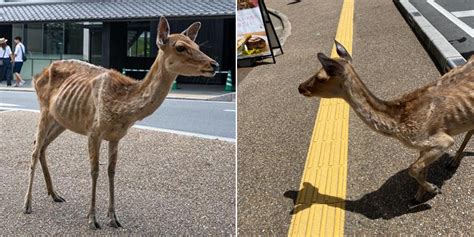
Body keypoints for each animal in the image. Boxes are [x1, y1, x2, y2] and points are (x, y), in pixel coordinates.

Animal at [23, 16, 219, 230]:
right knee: (34, 149)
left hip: (62, 120)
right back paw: (27, 204)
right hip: (44, 109)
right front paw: (92, 219)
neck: (122, 111)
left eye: (197, 45)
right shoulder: (94, 131)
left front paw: (113, 218)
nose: (214, 64)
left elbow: (111, 171)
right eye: (181, 47)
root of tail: (37, 76)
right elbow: (95, 170)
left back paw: (55, 194)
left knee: (42, 146)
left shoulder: (116, 136)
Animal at [298, 40, 472, 204]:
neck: (398, 124)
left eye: (320, 78)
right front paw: (418, 196)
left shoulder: (442, 139)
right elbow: (422, 169)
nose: (300, 87)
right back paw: (452, 162)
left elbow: (413, 168)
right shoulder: (424, 145)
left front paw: (434, 189)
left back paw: (452, 162)